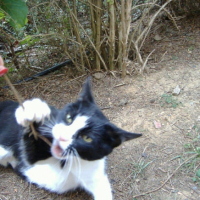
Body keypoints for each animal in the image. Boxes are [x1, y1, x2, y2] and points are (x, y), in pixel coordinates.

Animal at [0, 78, 141, 200]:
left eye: (87, 138)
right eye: (69, 118)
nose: (62, 136)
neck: (72, 162)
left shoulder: (94, 172)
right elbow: (30, 154)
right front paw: (34, 109)